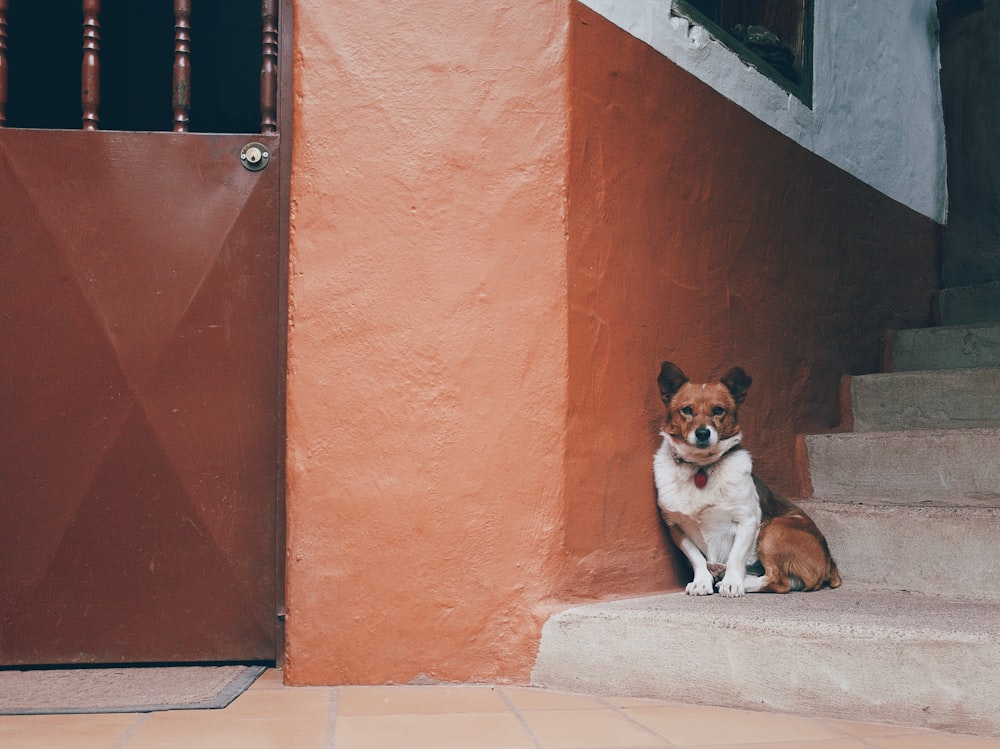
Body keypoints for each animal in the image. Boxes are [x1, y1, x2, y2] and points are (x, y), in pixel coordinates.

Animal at [652, 360, 840, 596]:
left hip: (774, 529)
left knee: (780, 581)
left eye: (718, 410)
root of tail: (830, 562)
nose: (703, 433)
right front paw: (702, 581)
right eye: (687, 410)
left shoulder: (747, 520)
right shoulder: (676, 526)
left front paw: (733, 582)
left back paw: (738, 580)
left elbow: (736, 557)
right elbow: (696, 558)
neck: (701, 467)